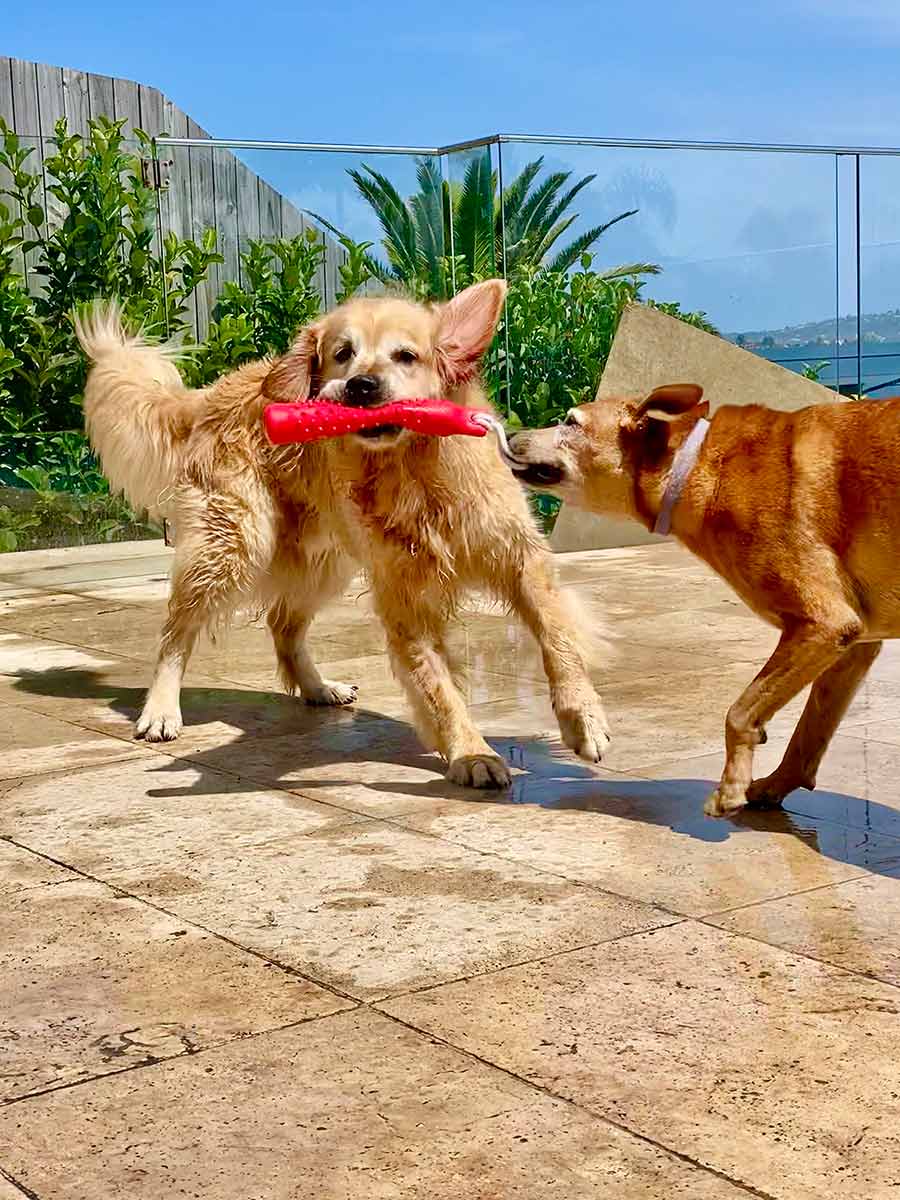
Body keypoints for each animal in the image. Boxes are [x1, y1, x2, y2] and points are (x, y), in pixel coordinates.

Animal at [75, 280, 614, 787]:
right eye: (342, 353)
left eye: (406, 355)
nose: (361, 386)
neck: (415, 475)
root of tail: (208, 395)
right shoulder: (405, 602)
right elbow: (439, 690)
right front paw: (472, 754)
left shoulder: (520, 557)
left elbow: (557, 635)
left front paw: (582, 717)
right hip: (235, 542)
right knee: (177, 631)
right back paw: (161, 710)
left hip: (325, 559)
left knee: (283, 624)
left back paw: (318, 688)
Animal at [508, 388, 897, 820]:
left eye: (571, 422)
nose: (509, 435)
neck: (694, 465)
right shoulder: (853, 645)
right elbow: (810, 733)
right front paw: (771, 786)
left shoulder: (824, 623)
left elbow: (740, 713)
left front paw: (730, 790)